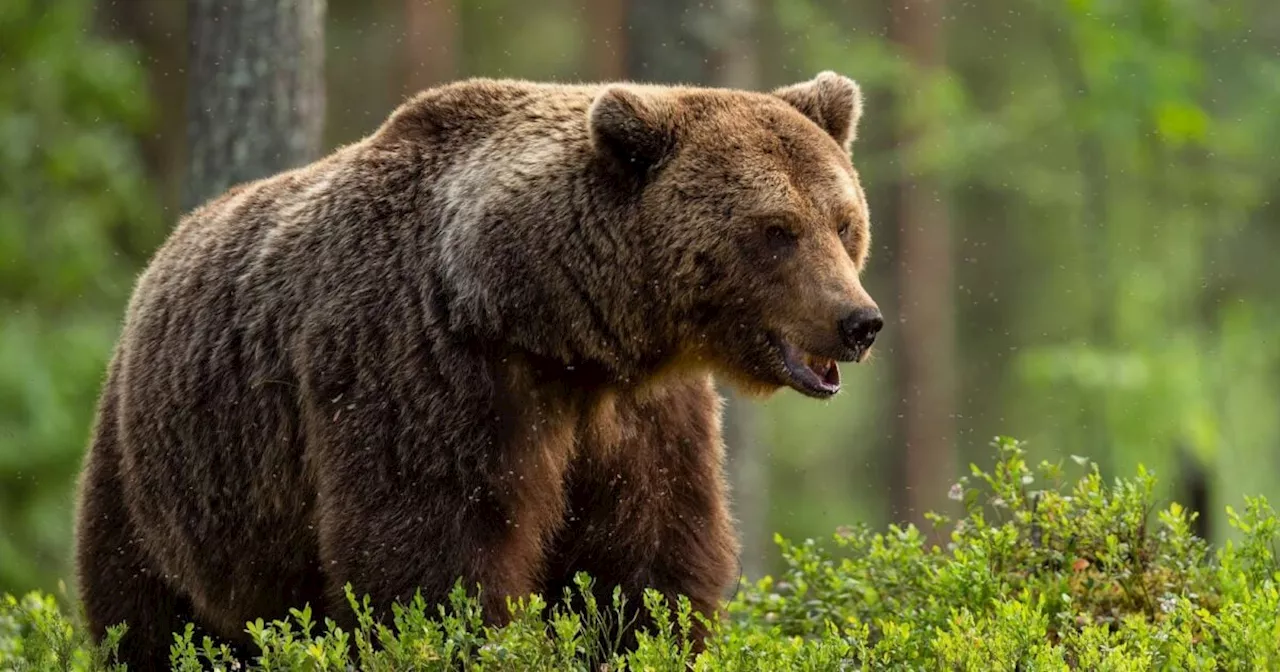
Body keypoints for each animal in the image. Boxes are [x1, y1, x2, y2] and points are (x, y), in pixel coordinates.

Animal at [74, 70, 885, 665]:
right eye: (775, 231)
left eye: (844, 222)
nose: (860, 321)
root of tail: (157, 262)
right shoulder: (427, 373)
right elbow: (432, 565)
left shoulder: (639, 416)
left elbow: (649, 564)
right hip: (163, 481)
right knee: (144, 614)